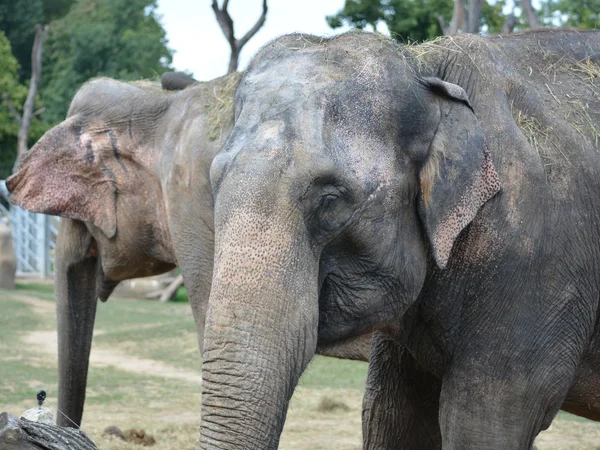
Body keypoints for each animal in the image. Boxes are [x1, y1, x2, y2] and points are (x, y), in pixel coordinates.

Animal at [191, 29, 596, 448]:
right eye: (214, 184)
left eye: (330, 200)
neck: (424, 69)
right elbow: (393, 415)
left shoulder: (539, 261)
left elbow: (489, 420)